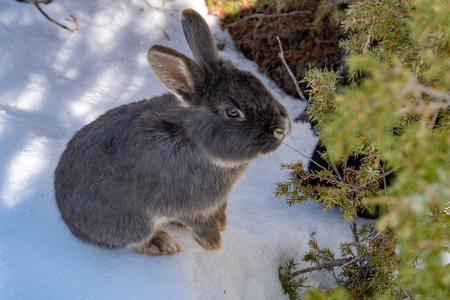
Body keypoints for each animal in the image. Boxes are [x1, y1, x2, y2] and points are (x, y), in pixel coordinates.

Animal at [54, 9, 292, 255]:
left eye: (257, 83)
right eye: (233, 112)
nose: (281, 130)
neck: (195, 140)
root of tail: (66, 215)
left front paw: (222, 225)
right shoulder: (189, 205)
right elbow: (201, 223)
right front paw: (213, 243)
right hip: (131, 223)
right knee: (136, 240)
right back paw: (162, 244)